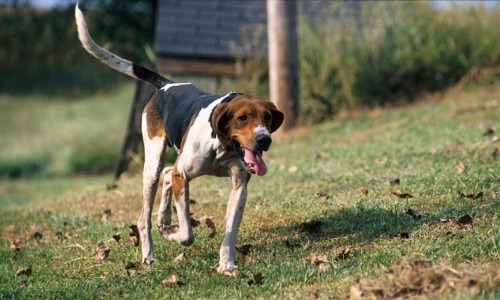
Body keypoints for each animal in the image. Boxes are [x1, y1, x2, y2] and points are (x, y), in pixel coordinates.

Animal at [75, 4, 286, 274]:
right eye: (242, 118)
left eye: (267, 117)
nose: (264, 140)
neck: (222, 146)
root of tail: (168, 84)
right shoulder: (183, 175)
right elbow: (186, 233)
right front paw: (173, 233)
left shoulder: (239, 188)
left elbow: (230, 232)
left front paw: (226, 264)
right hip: (151, 163)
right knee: (145, 214)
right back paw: (149, 252)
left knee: (167, 174)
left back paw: (163, 218)